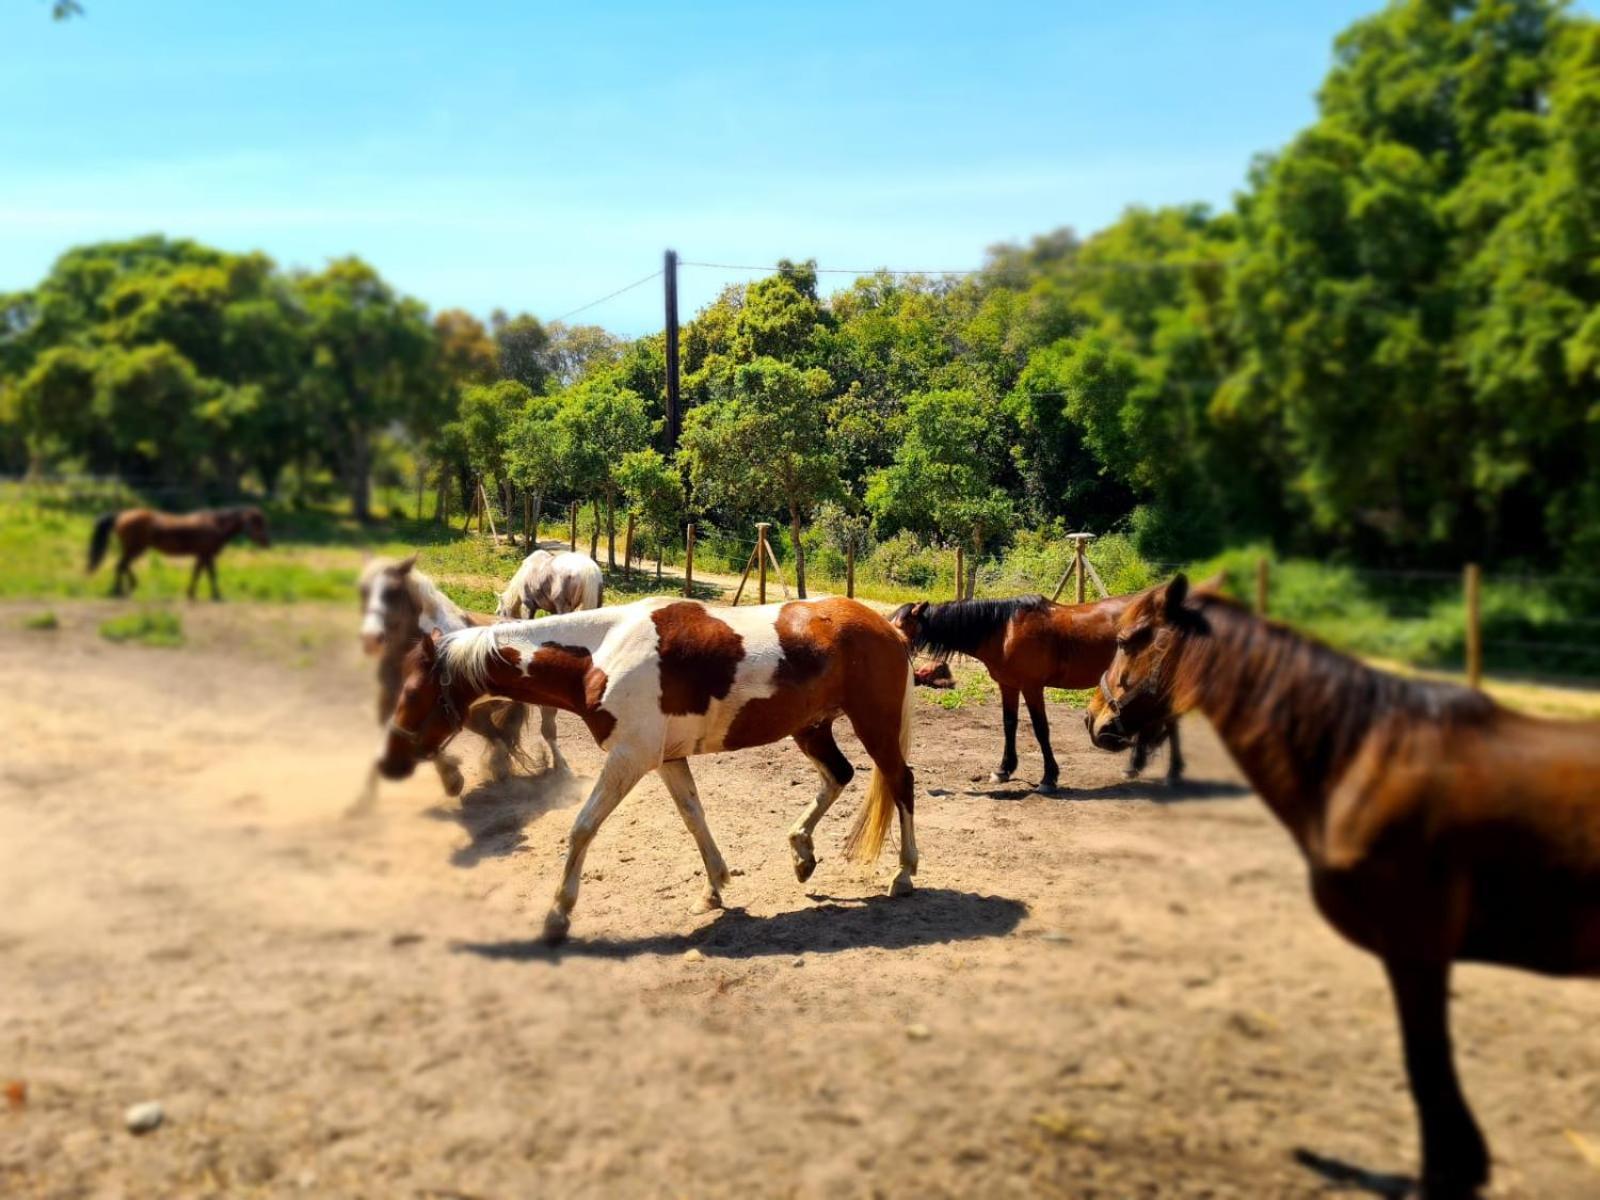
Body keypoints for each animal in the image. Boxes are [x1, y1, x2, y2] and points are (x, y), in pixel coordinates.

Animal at [89, 508, 272, 601]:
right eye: (256, 523)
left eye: (263, 522)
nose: (266, 542)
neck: (215, 524)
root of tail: (121, 515)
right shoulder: (206, 555)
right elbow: (210, 574)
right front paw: (216, 595)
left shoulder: (202, 555)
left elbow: (199, 574)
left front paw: (191, 593)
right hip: (134, 549)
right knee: (121, 565)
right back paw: (119, 590)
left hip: (135, 549)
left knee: (123, 566)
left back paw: (127, 587)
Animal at [374, 598, 921, 947]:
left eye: (413, 692)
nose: (389, 762)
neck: (602, 653)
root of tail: (889, 628)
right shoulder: (666, 759)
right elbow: (694, 818)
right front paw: (714, 887)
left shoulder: (629, 757)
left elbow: (582, 828)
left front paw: (558, 915)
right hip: (812, 728)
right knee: (839, 776)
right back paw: (801, 853)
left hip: (873, 724)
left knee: (901, 783)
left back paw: (904, 874)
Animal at [889, 598, 1177, 793]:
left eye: (901, 625)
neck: (1004, 631)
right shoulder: (1008, 685)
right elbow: (1009, 724)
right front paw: (1003, 770)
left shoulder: (1032, 687)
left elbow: (1040, 729)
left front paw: (1049, 778)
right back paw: (1140, 766)